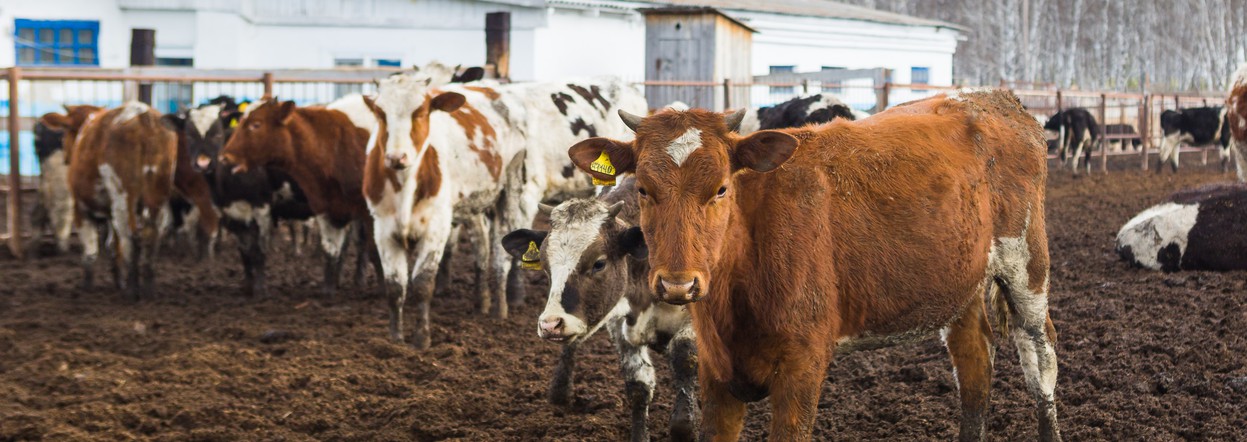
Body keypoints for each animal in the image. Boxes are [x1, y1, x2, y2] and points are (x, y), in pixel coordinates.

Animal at [41, 101, 177, 298]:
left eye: (65, 132)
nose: (66, 157)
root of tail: (142, 116)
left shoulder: (80, 208)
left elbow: (91, 250)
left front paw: (87, 285)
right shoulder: (110, 214)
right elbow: (114, 246)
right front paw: (118, 279)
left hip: (123, 197)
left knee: (131, 237)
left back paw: (133, 290)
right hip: (157, 196)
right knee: (152, 235)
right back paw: (148, 288)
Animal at [354, 62, 643, 347]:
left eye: (423, 110)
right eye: (380, 112)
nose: (397, 156)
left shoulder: (449, 222)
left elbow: (425, 281)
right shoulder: (385, 228)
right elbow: (397, 286)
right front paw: (395, 338)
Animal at [501, 177, 698, 442]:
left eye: (599, 263)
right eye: (544, 265)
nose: (550, 324)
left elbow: (685, 355)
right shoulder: (620, 319)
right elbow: (638, 384)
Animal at [568, 90, 1062, 442]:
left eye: (722, 188)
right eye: (644, 189)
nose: (676, 284)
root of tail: (992, 98)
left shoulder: (803, 365)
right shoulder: (716, 370)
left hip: (1026, 268)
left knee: (1039, 360)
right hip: (959, 283)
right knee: (974, 359)